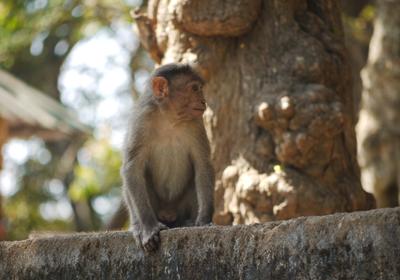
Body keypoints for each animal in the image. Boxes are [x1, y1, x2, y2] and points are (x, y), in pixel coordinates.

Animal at [121, 63, 214, 252]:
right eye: (194, 89)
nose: (203, 101)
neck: (169, 119)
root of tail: (168, 214)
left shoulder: (196, 123)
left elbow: (202, 165)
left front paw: (204, 220)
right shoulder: (142, 120)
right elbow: (132, 168)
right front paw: (148, 228)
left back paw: (187, 222)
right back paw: (138, 226)